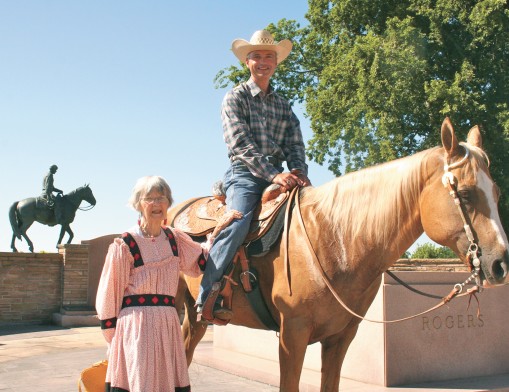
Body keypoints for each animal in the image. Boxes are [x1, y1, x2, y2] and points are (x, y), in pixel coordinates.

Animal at [176, 118, 508, 392]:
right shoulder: (292, 334)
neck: (335, 241)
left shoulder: (341, 337)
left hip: (195, 318)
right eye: (464, 194)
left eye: (496, 192)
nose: (500, 264)